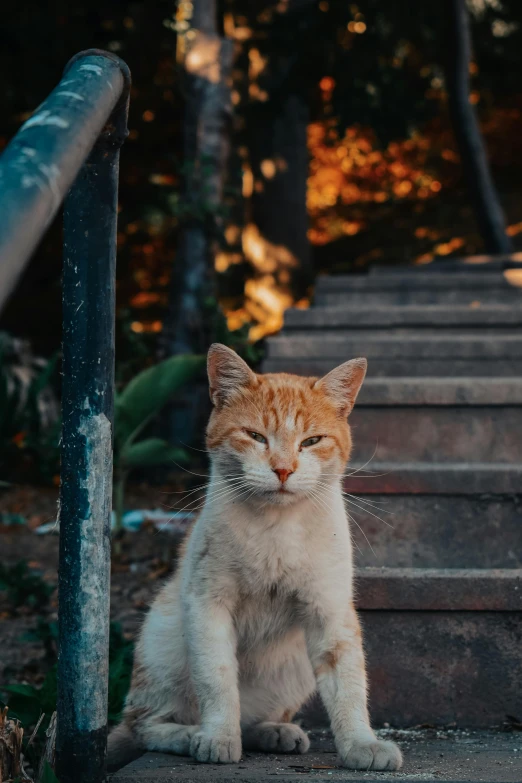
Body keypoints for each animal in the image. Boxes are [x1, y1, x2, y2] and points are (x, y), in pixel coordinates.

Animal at [108, 344, 402, 772]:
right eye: (255, 436)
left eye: (311, 441)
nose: (283, 469)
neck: (276, 529)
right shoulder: (208, 606)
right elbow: (217, 679)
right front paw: (217, 738)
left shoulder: (330, 612)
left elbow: (348, 683)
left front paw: (362, 744)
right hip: (163, 639)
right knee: (145, 724)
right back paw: (190, 735)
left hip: (296, 668)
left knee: (250, 721)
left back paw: (274, 732)